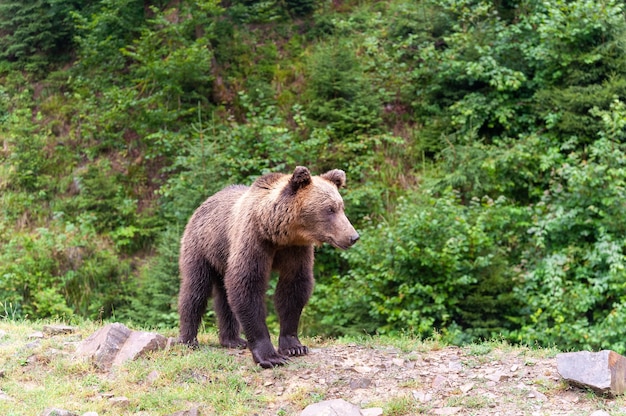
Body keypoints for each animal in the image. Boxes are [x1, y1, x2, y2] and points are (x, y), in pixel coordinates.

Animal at [178, 166, 358, 368]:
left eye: (341, 207)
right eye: (330, 209)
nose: (353, 236)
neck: (277, 232)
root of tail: (203, 204)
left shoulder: (296, 250)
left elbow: (293, 288)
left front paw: (294, 346)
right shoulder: (254, 240)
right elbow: (247, 285)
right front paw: (270, 356)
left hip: (222, 257)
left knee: (224, 296)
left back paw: (233, 340)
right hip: (202, 247)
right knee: (196, 290)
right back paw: (188, 340)